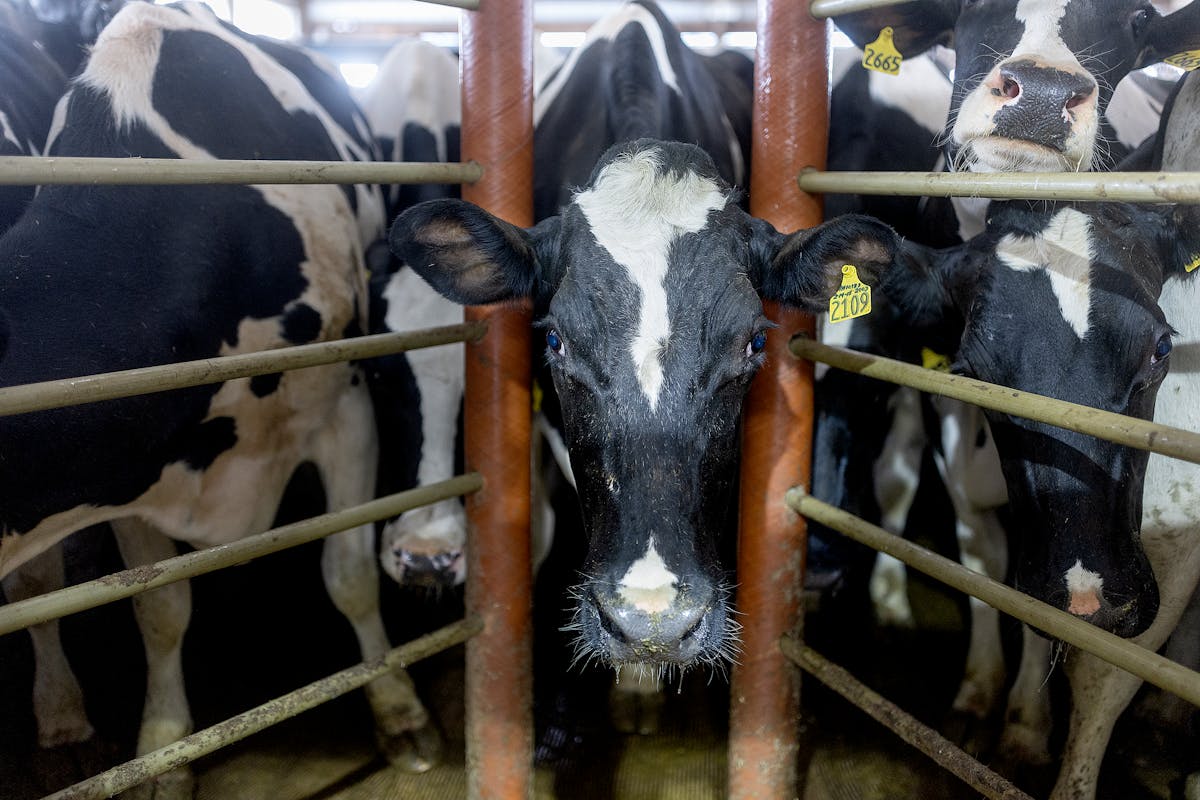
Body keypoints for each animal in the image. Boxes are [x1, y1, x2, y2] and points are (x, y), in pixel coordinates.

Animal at [0, 3, 441, 796]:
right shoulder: (134, 470)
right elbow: (159, 607)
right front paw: (165, 751)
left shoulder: (347, 410)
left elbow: (350, 573)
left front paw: (398, 707)